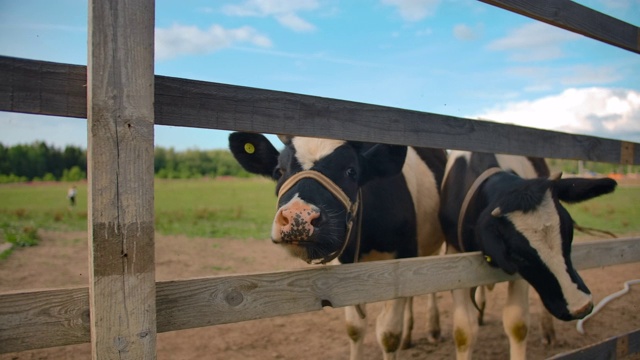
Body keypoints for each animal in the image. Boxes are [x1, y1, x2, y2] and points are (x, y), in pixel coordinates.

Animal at [229, 132, 444, 360]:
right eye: (279, 171)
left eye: (351, 171)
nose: (298, 217)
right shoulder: (346, 267)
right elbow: (355, 328)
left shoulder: (403, 257)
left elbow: (389, 334)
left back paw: (433, 330)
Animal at [440, 150, 616, 358]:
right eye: (519, 256)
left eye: (568, 231)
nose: (581, 306)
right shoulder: (455, 258)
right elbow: (464, 332)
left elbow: (517, 325)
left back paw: (548, 333)